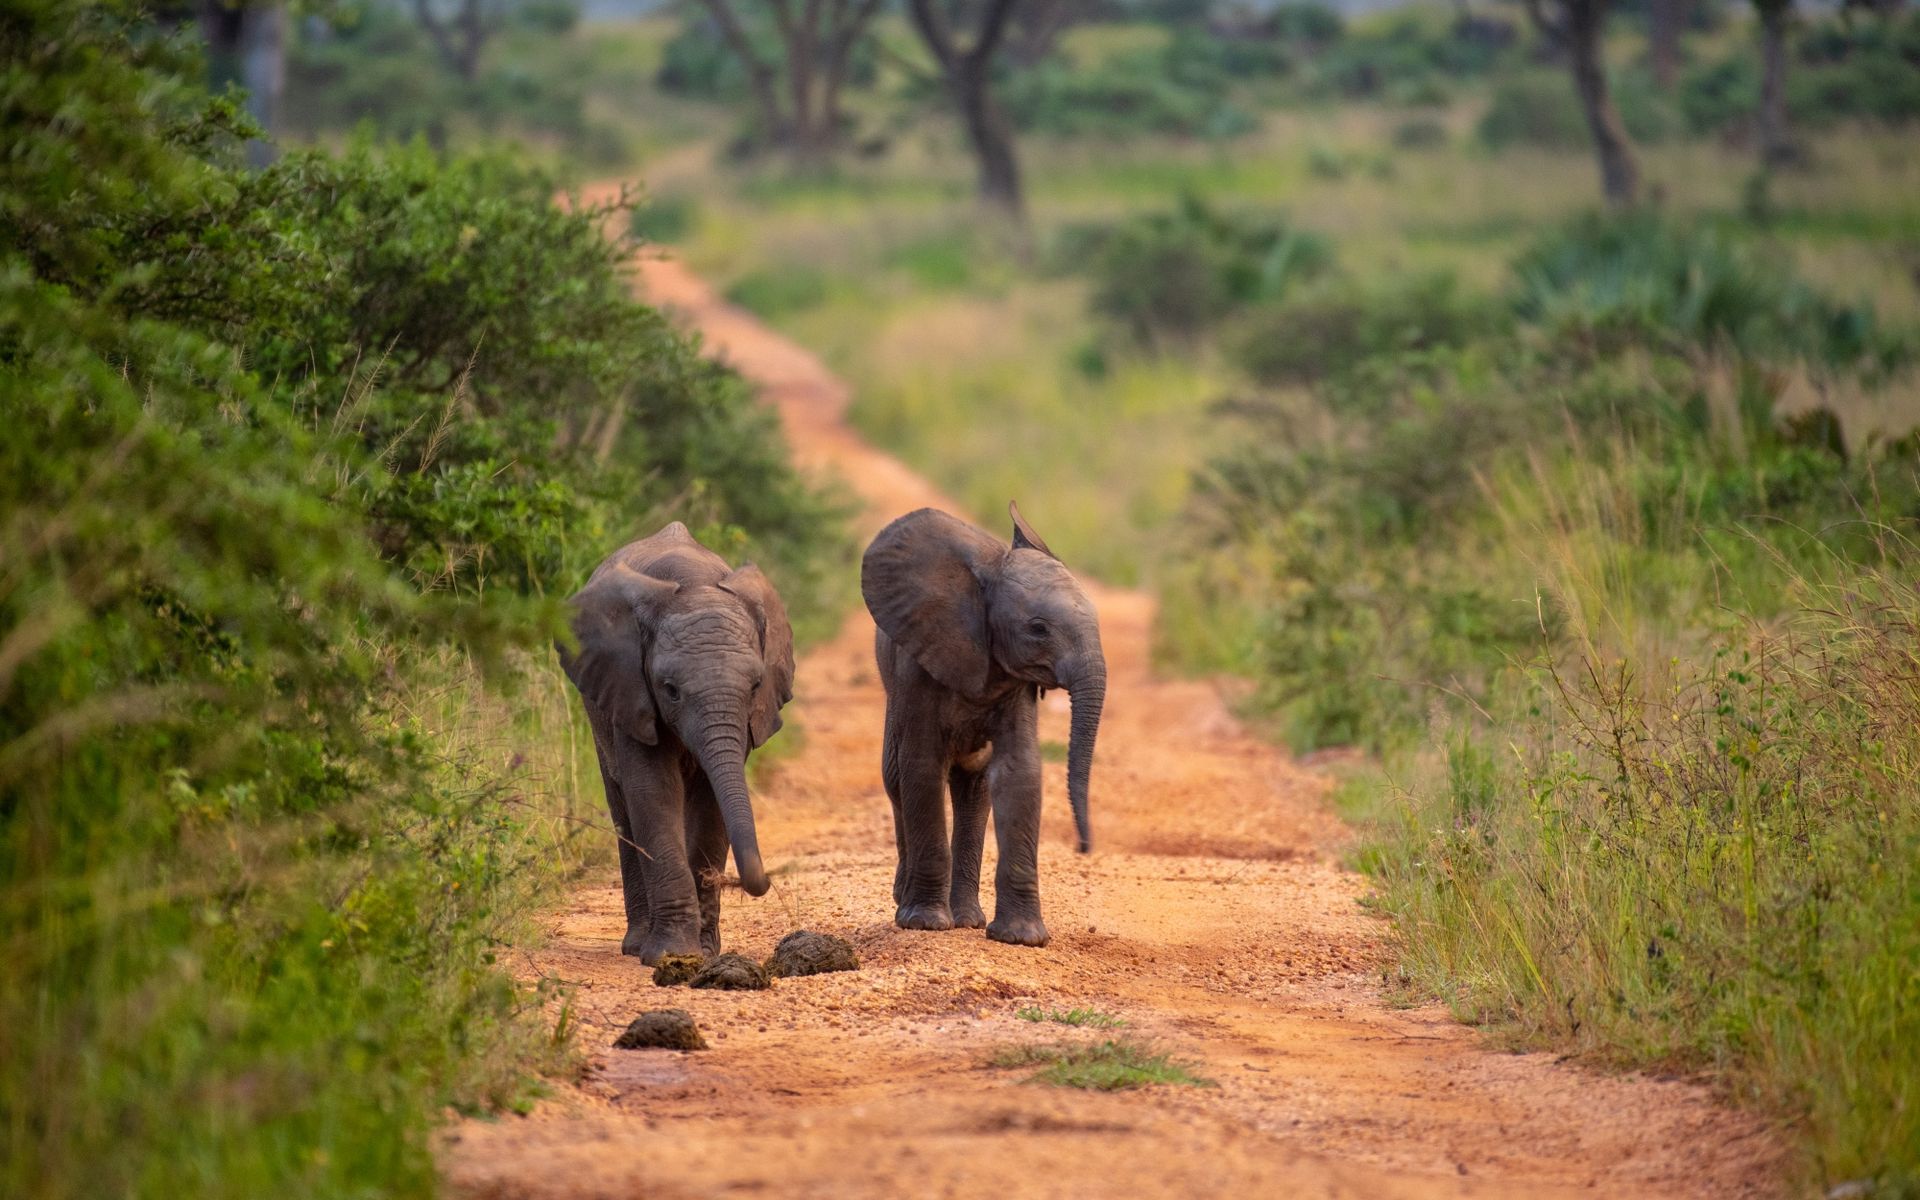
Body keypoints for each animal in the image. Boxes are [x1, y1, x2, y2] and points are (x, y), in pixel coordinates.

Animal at [558, 522, 795, 965]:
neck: (694, 581)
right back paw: (636, 946)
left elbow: (712, 801)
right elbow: (652, 793)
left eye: (756, 685)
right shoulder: (631, 691)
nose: (760, 883)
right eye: (670, 690)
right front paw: (671, 956)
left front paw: (704, 953)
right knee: (622, 808)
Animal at [860, 502, 1107, 947]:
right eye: (1038, 628)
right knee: (895, 779)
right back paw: (907, 904)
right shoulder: (917, 667)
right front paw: (924, 924)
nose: (1084, 847)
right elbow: (921, 768)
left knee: (974, 793)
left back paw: (967, 919)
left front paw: (1021, 938)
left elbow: (1018, 773)